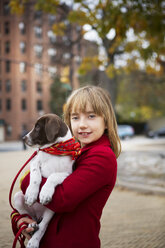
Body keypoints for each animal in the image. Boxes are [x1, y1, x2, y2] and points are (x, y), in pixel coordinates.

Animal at [14, 113, 76, 247]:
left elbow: (53, 176)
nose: (23, 137)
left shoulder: (68, 173)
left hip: (51, 210)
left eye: (37, 127)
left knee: (43, 226)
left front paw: (44, 193)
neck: (54, 151)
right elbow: (35, 175)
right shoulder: (34, 163)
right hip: (18, 198)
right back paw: (31, 224)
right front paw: (31, 194)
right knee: (28, 217)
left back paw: (34, 241)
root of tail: (38, 215)